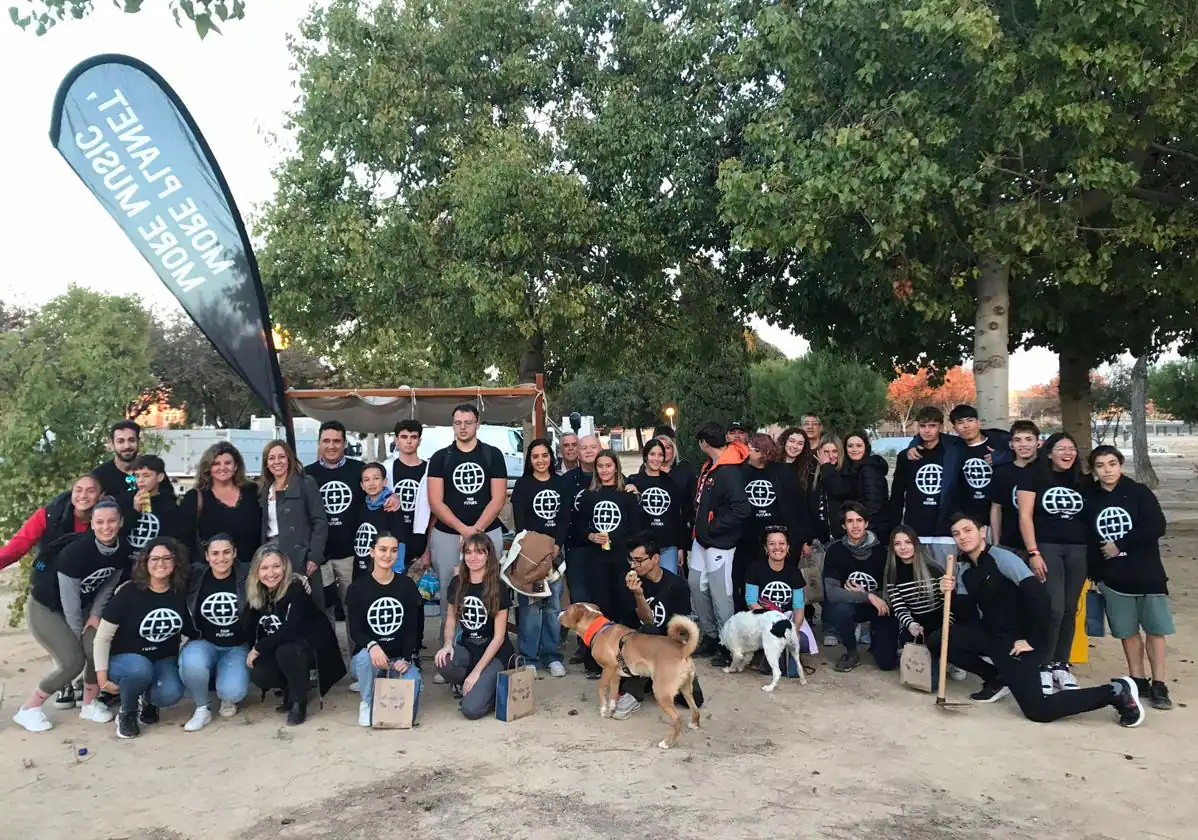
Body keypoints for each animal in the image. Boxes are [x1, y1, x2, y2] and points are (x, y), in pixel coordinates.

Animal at [558, 603, 699, 747]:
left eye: (567, 610)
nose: (559, 612)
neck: (599, 629)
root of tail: (683, 651)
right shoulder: (615, 673)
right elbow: (613, 692)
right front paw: (612, 707)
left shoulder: (608, 668)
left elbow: (601, 687)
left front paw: (603, 709)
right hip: (686, 689)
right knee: (695, 709)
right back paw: (694, 724)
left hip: (661, 692)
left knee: (678, 719)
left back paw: (667, 742)